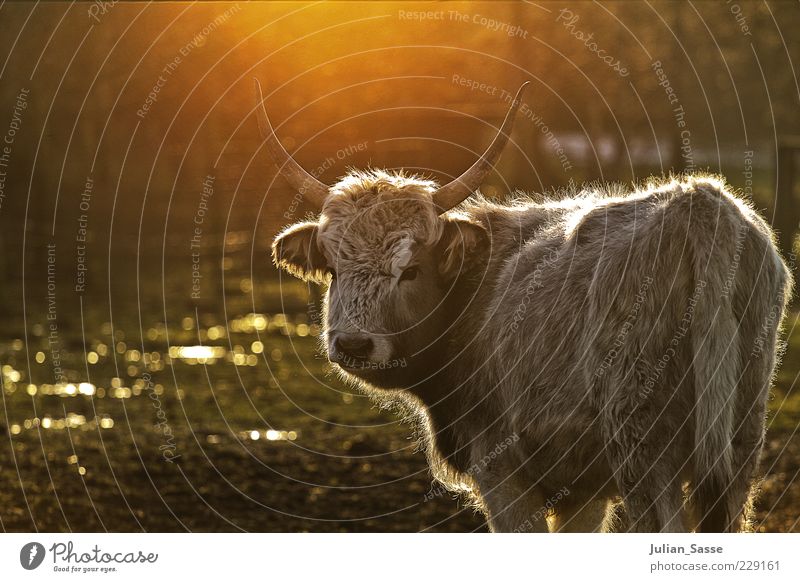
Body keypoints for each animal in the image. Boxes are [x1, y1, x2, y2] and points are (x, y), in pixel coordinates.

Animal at [253, 81, 792, 532]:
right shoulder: (584, 489)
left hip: (642, 451)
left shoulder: (502, 470)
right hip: (737, 450)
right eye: (333, 268)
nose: (353, 343)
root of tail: (698, 200)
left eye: (411, 269)